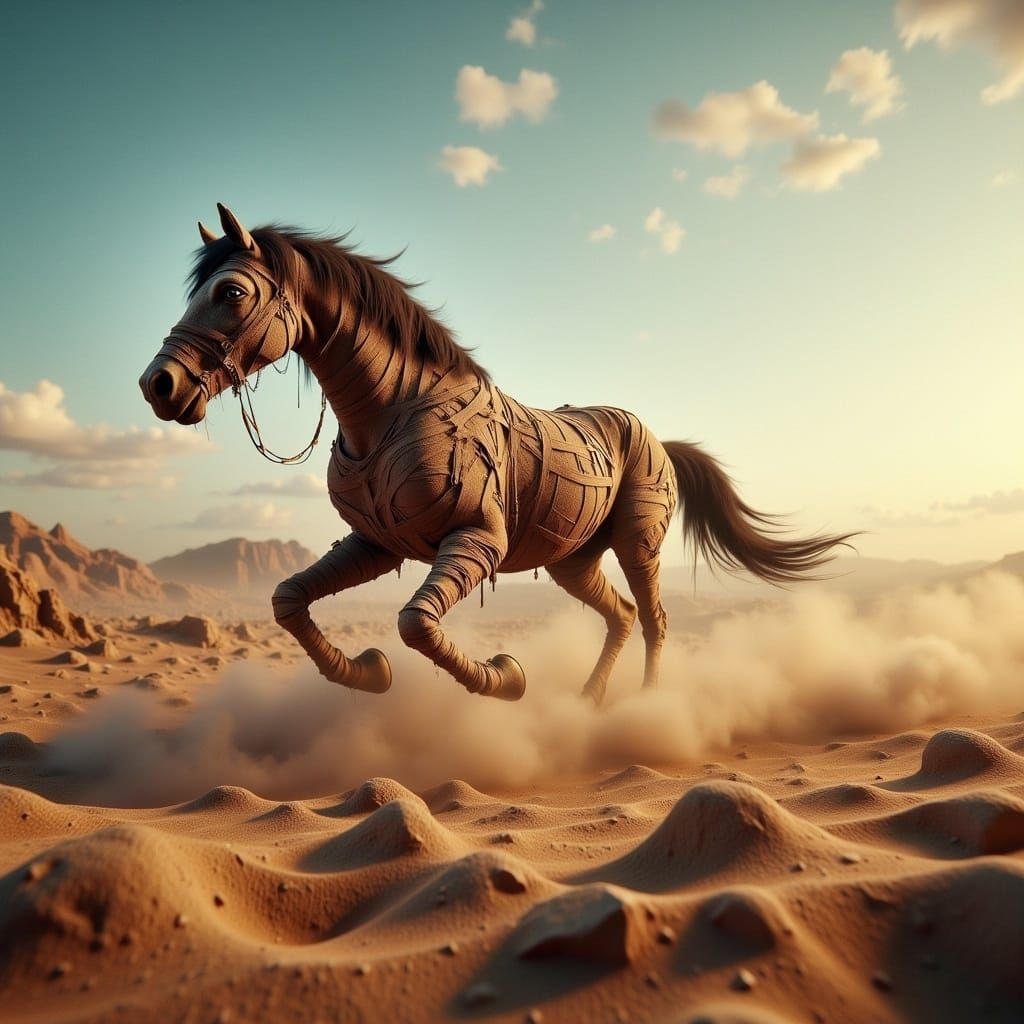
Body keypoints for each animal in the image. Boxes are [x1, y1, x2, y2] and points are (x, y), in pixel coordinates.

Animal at [140, 204, 854, 705]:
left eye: (231, 292)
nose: (159, 386)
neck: (394, 411)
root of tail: (658, 441)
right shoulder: (377, 544)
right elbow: (289, 598)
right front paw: (368, 672)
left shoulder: (476, 542)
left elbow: (415, 624)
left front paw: (507, 678)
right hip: (573, 560)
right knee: (621, 616)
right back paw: (588, 702)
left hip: (638, 541)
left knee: (654, 618)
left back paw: (647, 708)